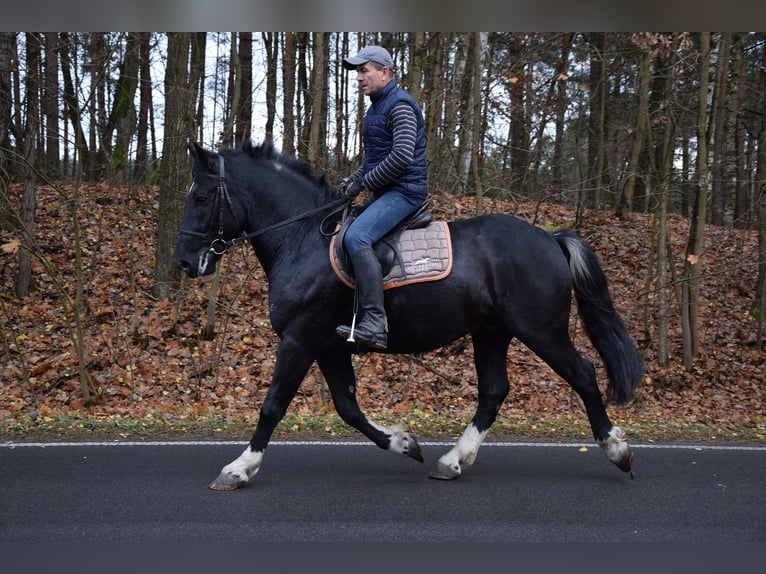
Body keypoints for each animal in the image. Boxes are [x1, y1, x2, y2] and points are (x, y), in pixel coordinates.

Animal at [175, 140, 644, 491]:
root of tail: (549, 238)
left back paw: (617, 450)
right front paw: (404, 442)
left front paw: (239, 468)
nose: (184, 262)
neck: (302, 237)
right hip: (492, 332)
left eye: (200, 197)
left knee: (583, 374)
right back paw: (454, 460)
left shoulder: (299, 339)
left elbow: (273, 405)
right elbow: (348, 407)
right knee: (494, 391)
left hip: (541, 330)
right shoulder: (329, 347)